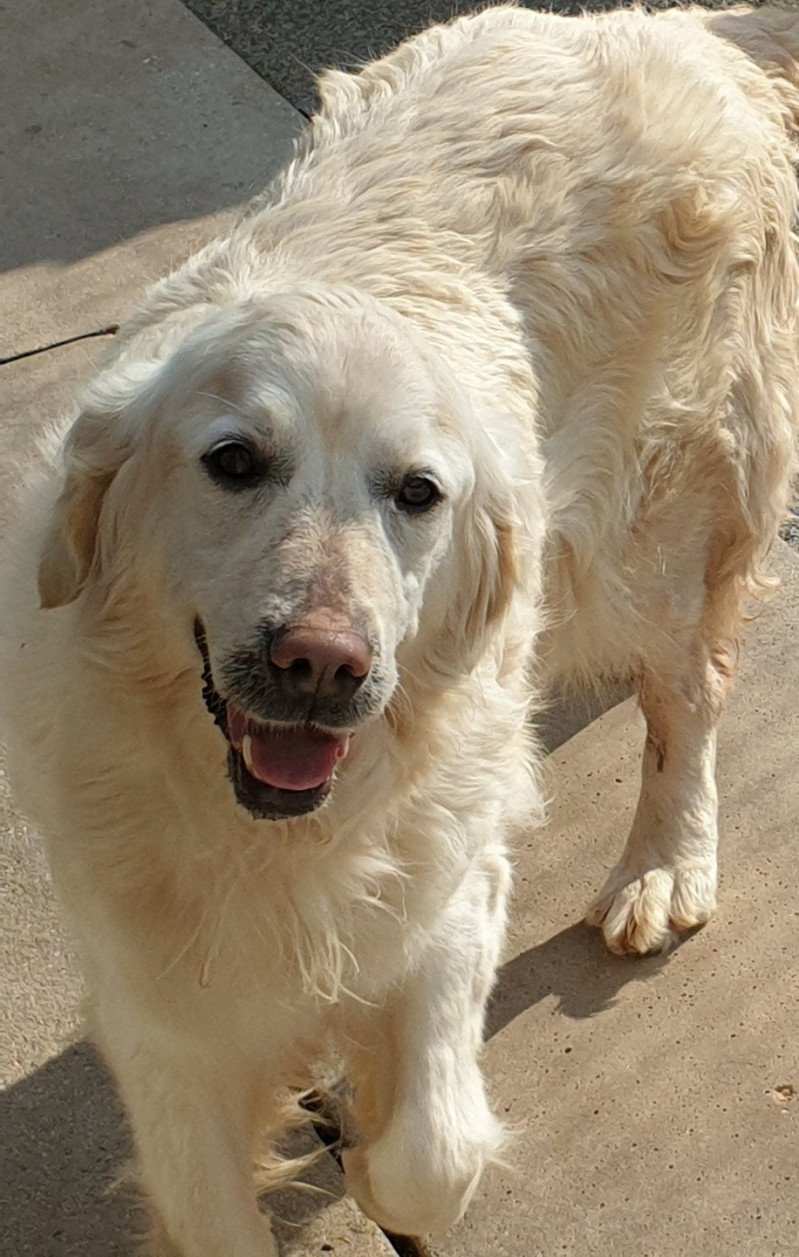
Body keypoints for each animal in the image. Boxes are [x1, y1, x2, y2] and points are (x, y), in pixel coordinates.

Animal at [1, 4, 799, 1251]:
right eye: (234, 462)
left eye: (417, 492)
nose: (322, 664)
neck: (274, 836)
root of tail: (677, 30)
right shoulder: (161, 1022)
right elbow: (212, 1196)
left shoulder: (449, 890)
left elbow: (432, 1150)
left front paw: (374, 1160)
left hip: (660, 531)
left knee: (689, 693)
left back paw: (665, 864)